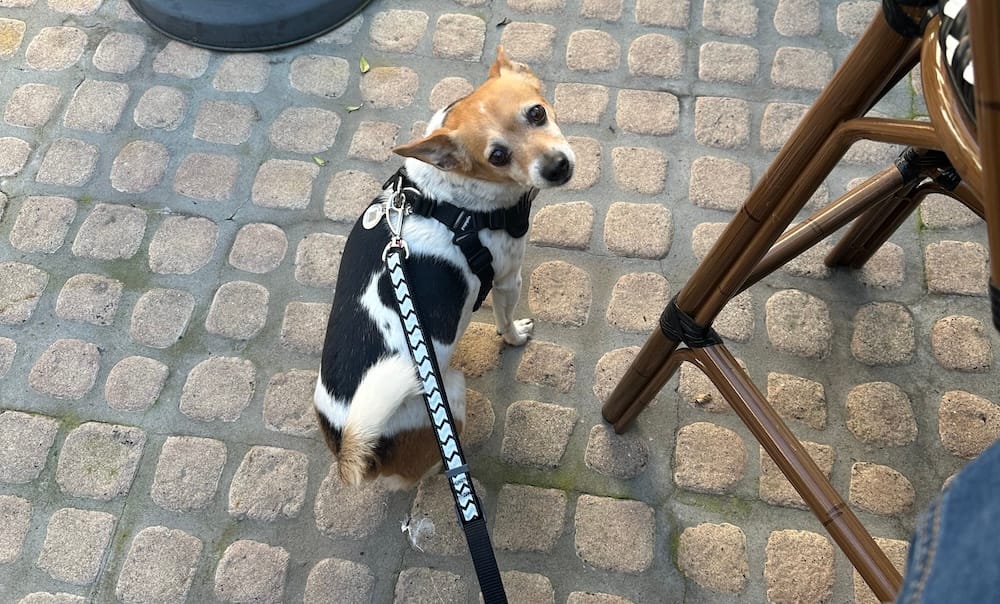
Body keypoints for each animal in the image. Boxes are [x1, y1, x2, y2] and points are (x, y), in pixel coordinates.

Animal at [312, 48, 580, 490]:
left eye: (537, 113)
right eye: (497, 156)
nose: (556, 166)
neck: (446, 194)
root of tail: (353, 450)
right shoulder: (508, 280)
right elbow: (506, 321)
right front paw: (514, 336)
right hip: (451, 391)